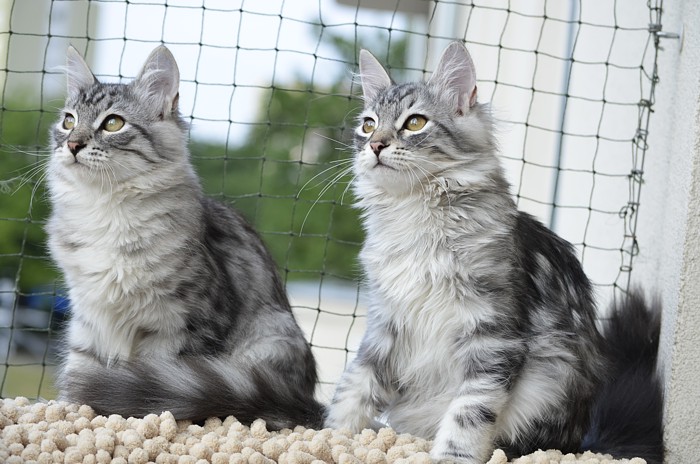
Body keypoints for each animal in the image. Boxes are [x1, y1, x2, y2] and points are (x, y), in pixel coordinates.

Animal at [47, 45, 324, 429]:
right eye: (69, 121)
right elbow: (81, 366)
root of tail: (309, 403)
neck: (105, 210)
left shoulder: (184, 322)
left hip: (269, 340)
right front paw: (72, 409)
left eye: (113, 123)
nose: (73, 144)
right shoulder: (89, 313)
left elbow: (154, 379)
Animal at [325, 42, 663, 463]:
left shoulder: (492, 331)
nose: (375, 145)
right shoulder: (387, 324)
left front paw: (451, 455)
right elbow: (353, 387)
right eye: (369, 125)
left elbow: (470, 410)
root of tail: (583, 439)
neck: (415, 216)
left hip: (548, 382)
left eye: (415, 123)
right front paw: (330, 435)